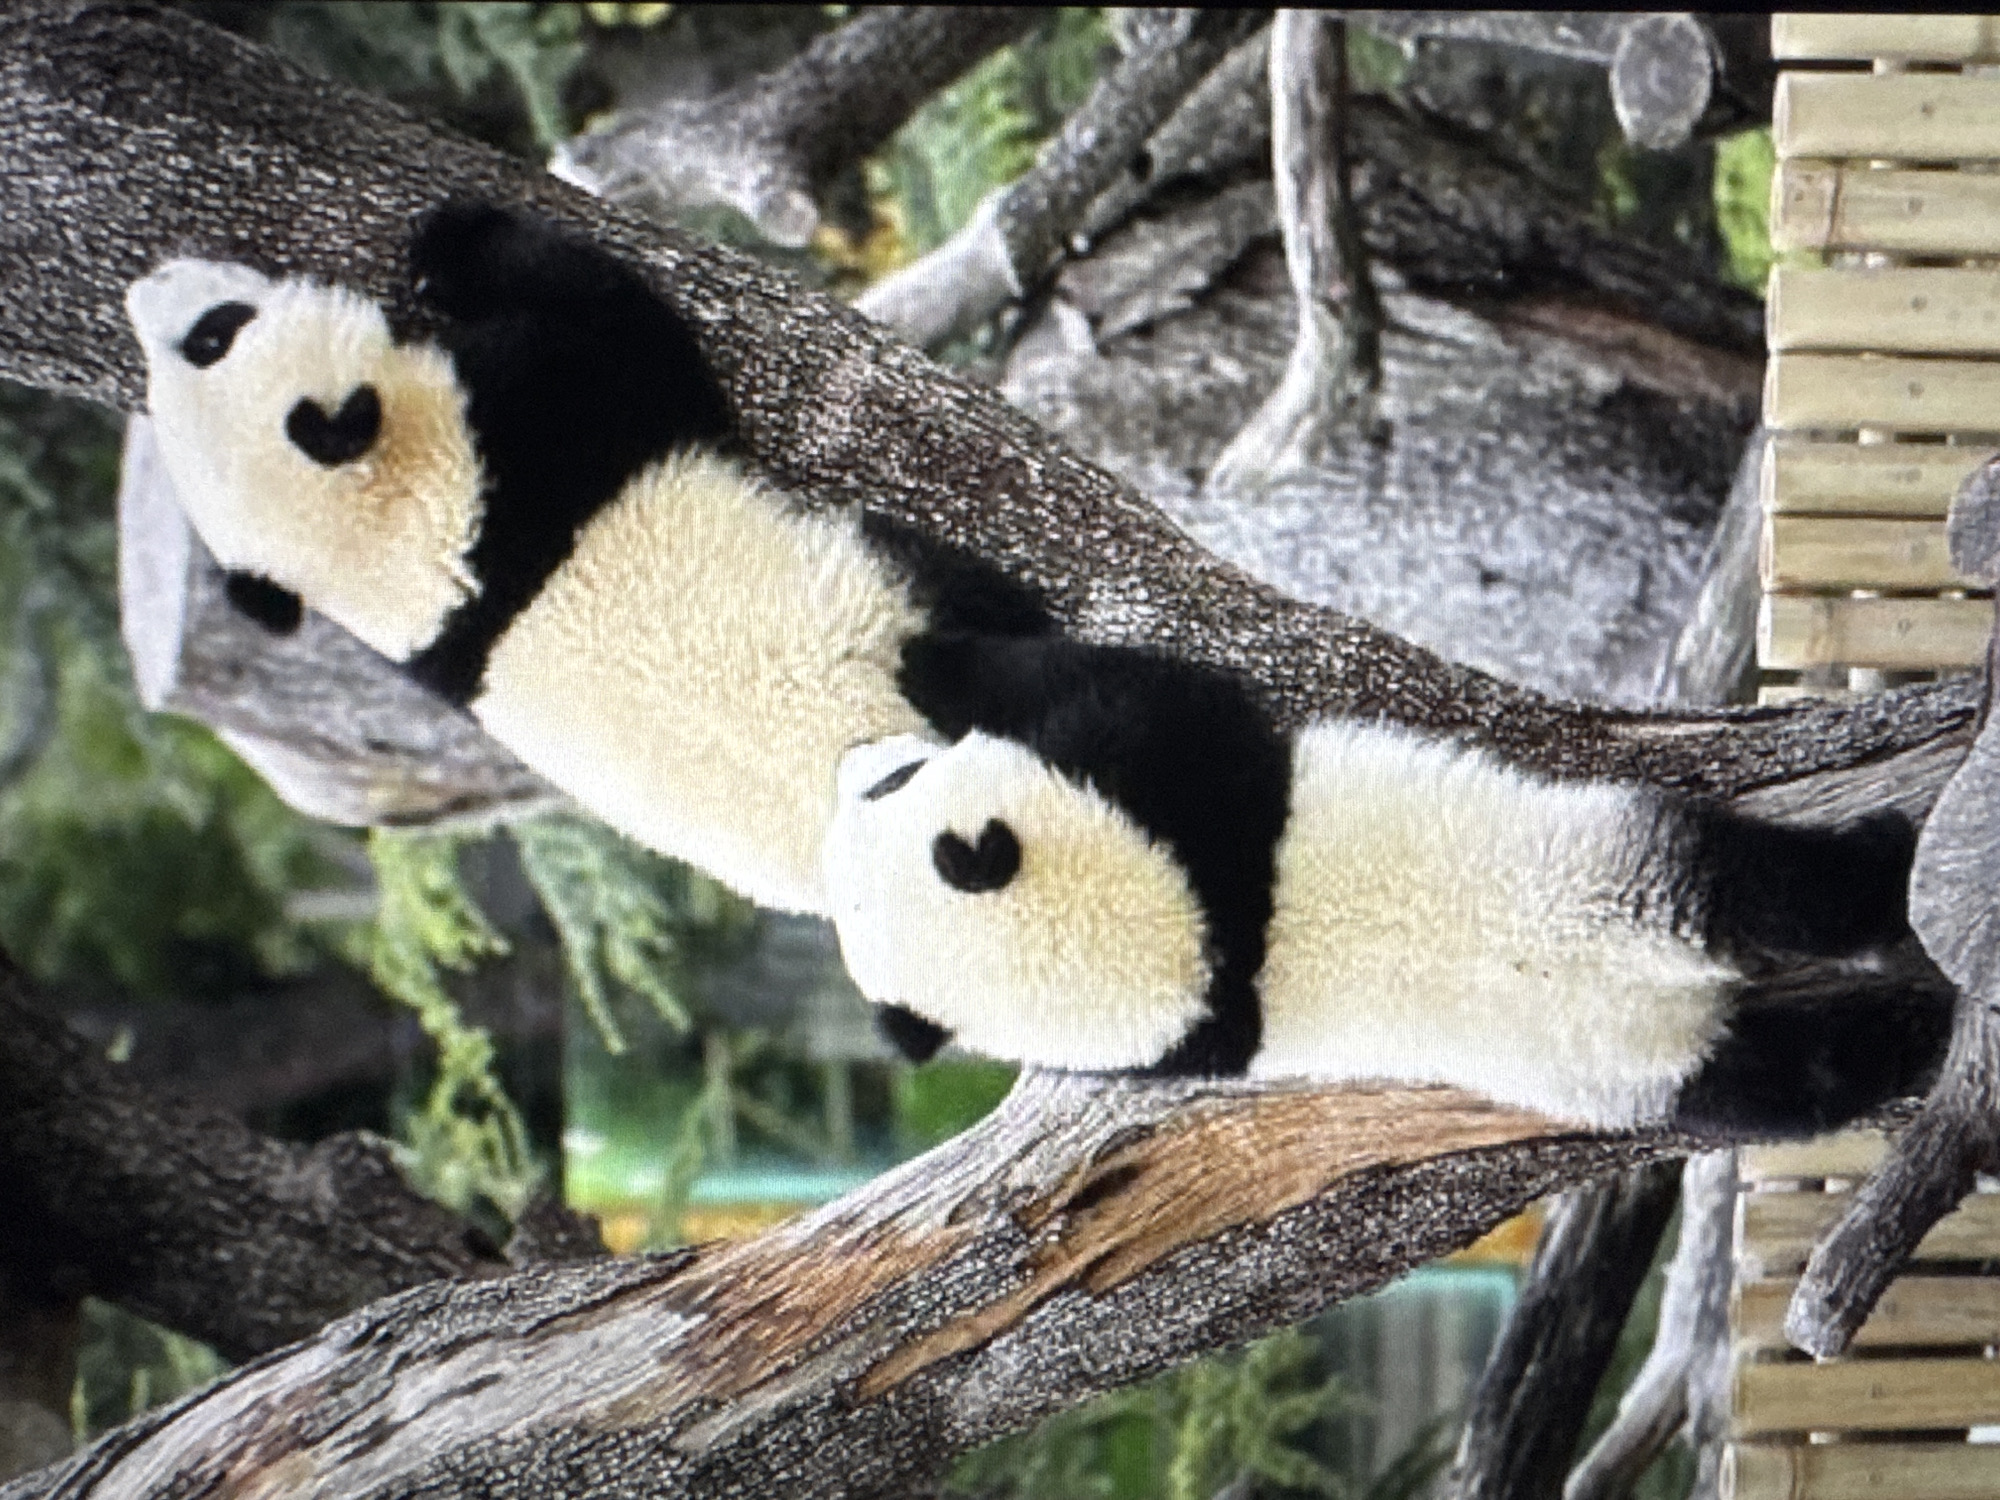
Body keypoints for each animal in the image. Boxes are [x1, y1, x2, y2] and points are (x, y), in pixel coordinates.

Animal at [125, 202, 1054, 916]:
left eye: (208, 337)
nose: (145, 286)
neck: (386, 546)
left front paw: (440, 255)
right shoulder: (533, 445)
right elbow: (638, 338)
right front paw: (456, 243)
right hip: (903, 616)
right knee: (978, 609)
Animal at [822, 646, 1955, 1138]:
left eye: (889, 783)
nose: (852, 763)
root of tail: (1654, 986)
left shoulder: (1173, 832)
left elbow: (1134, 689)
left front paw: (928, 662)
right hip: (1625, 1005)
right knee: (1772, 1030)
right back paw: (1899, 988)